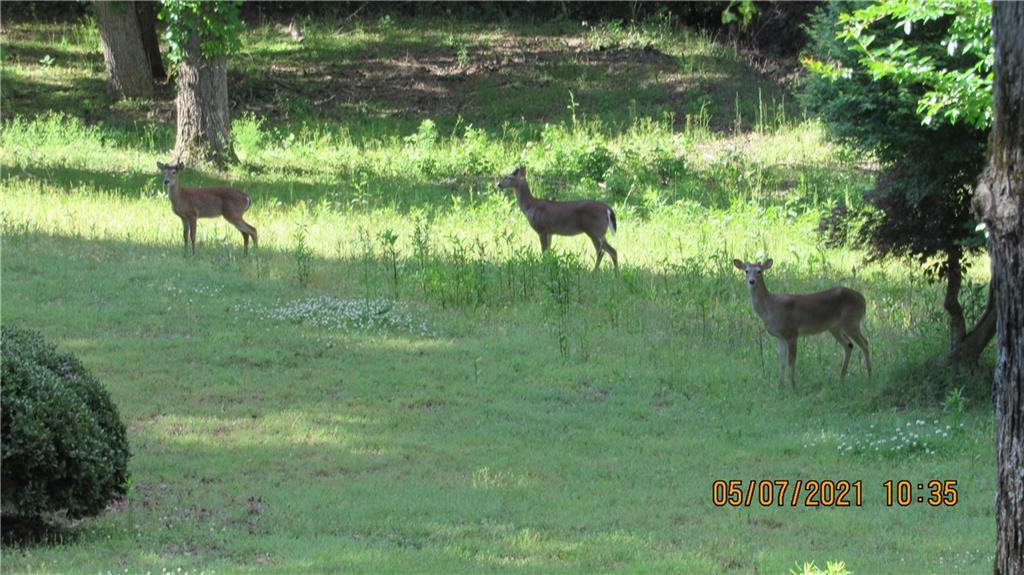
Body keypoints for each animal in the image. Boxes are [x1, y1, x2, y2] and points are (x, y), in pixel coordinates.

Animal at [737, 257, 872, 386]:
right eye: (746, 271)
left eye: (759, 271)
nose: (752, 281)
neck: (770, 307)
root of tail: (863, 299)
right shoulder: (780, 337)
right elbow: (781, 362)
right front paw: (780, 387)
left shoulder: (792, 333)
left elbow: (791, 362)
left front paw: (793, 386)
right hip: (835, 327)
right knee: (848, 345)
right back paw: (841, 378)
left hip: (851, 321)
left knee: (864, 343)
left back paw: (870, 376)